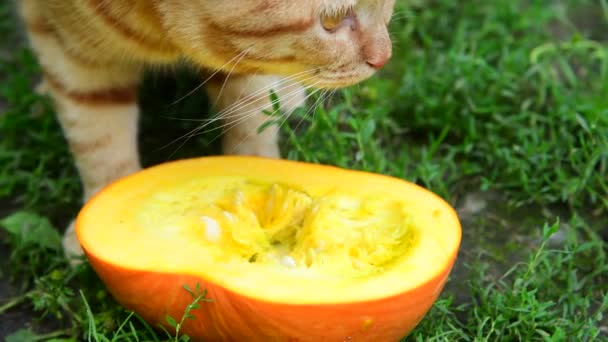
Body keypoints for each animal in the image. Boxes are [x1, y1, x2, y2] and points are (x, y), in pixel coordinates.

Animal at [17, 0, 394, 262]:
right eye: (330, 21)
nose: (385, 58)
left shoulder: (242, 60)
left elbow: (251, 112)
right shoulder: (69, 47)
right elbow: (98, 140)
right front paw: (102, 208)